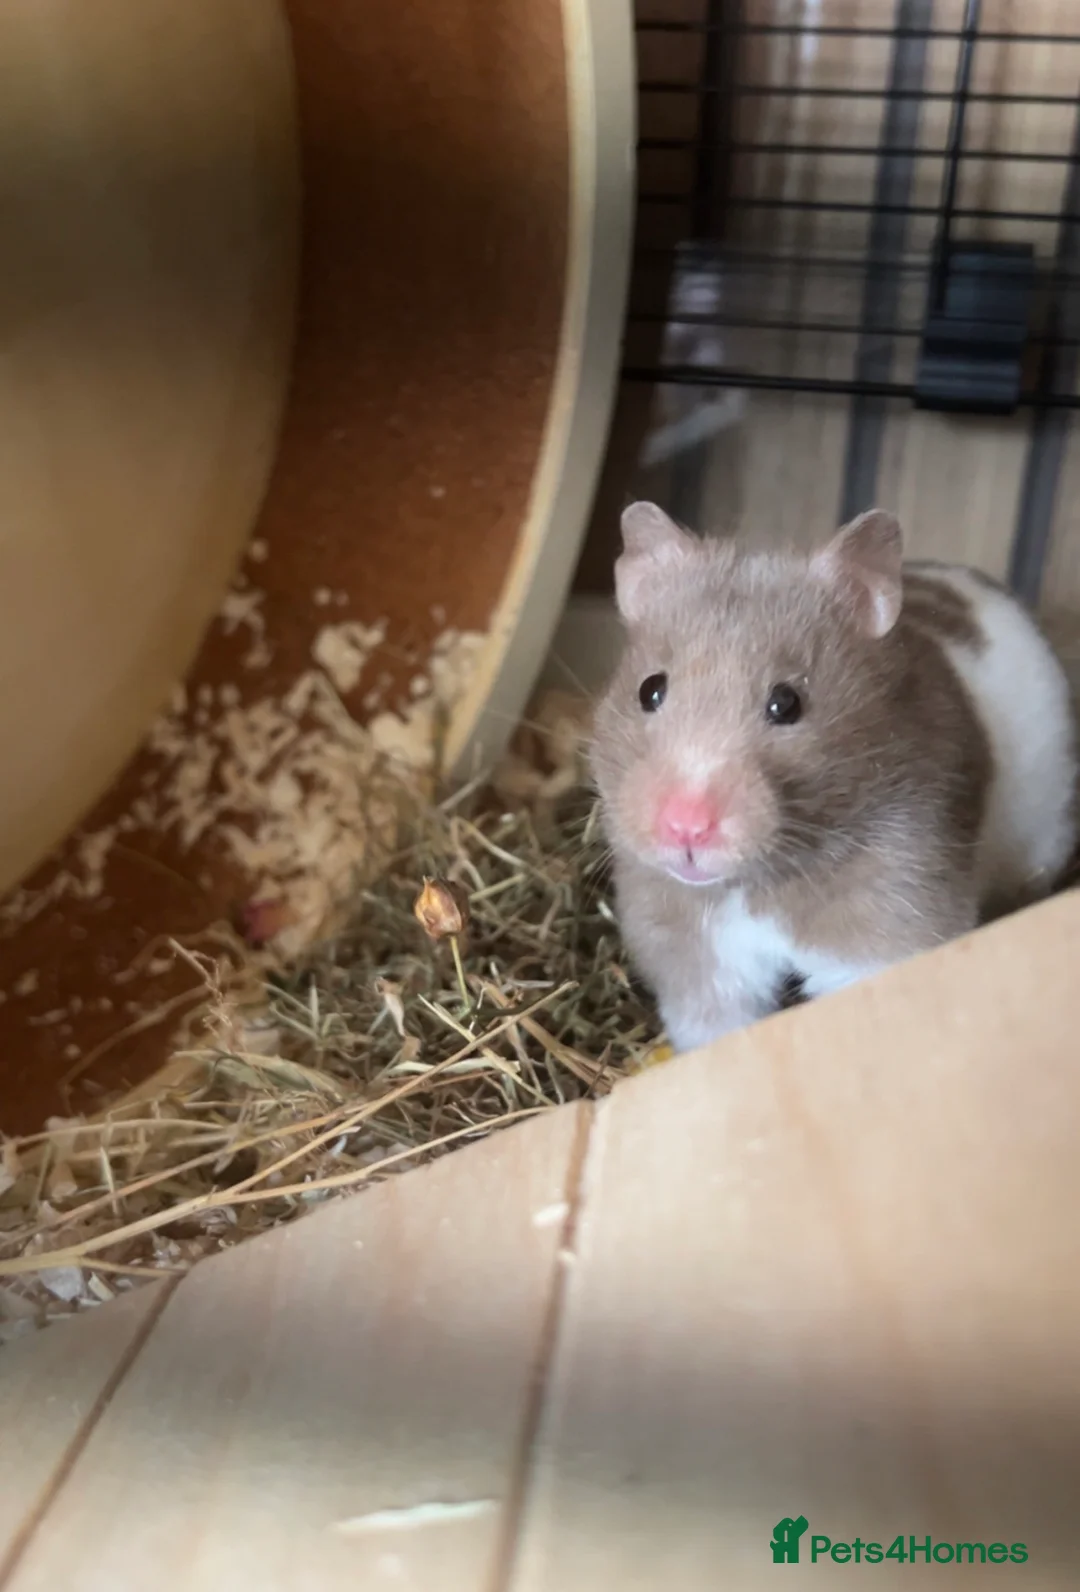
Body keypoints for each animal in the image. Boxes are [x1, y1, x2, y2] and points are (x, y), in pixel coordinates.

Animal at [590, 501, 1079, 1054]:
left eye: (787, 703)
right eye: (649, 690)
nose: (685, 828)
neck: (757, 885)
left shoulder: (888, 925)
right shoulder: (697, 954)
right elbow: (719, 1022)